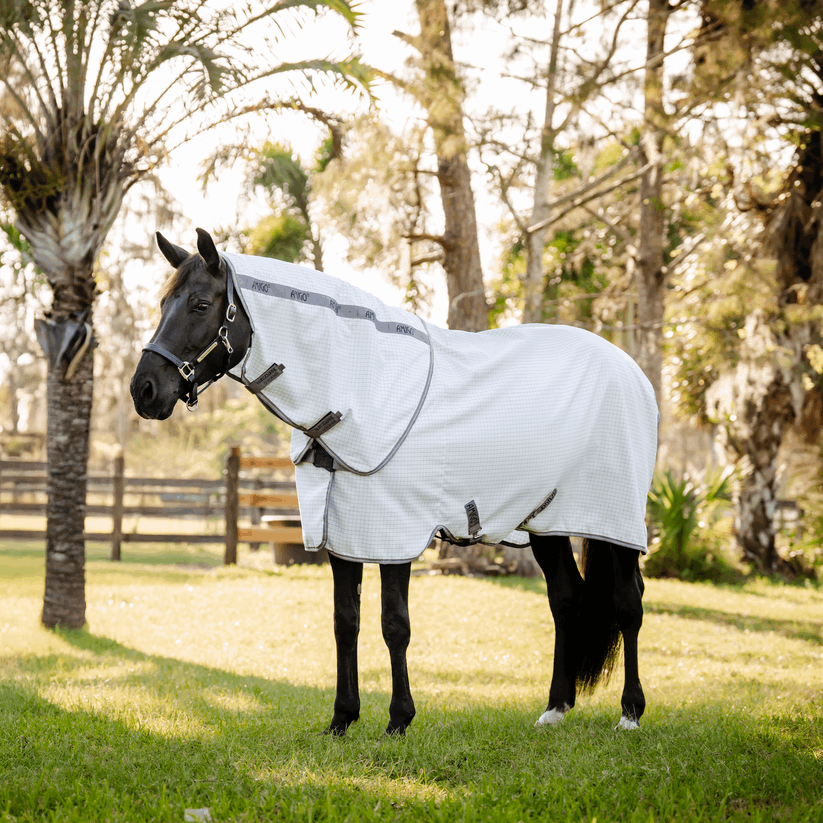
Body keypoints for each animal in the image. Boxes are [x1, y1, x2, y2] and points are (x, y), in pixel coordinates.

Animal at [130, 228, 658, 736]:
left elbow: (393, 624)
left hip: (614, 520)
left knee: (628, 603)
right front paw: (342, 718)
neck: (362, 388)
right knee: (566, 600)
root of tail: (633, 372)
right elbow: (346, 621)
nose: (144, 391)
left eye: (201, 304)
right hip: (547, 522)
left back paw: (630, 713)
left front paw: (399, 719)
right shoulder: (343, 530)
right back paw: (555, 709)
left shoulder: (392, 530)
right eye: (162, 303)